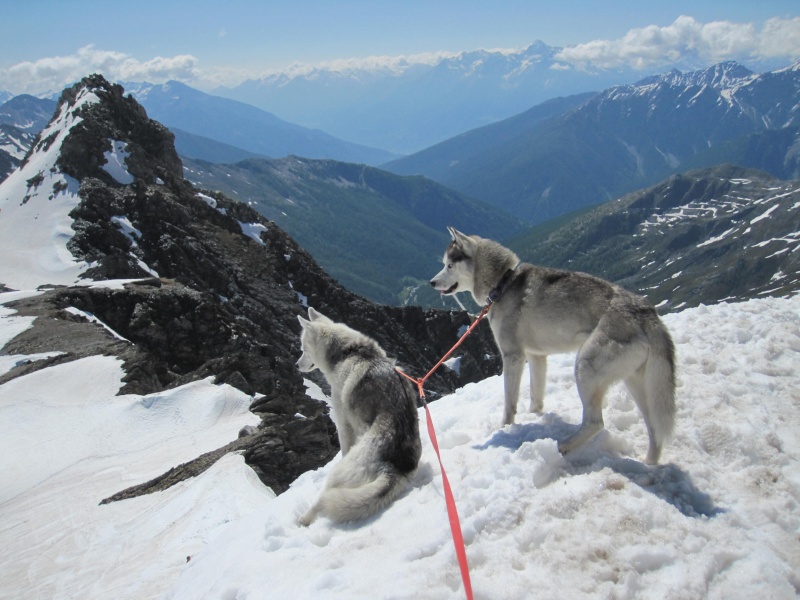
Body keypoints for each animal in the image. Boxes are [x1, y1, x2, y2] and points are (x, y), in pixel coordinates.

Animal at [296, 310, 422, 524]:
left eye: (304, 349)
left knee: (324, 498)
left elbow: (343, 445)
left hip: (341, 473)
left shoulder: (343, 423)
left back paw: (303, 519)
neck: (349, 352)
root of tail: (395, 466)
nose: (296, 365)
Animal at [432, 227, 676, 466]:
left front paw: (505, 428)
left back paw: (563, 446)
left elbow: (509, 402)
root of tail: (645, 311)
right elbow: (536, 396)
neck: (503, 283)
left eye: (449, 265)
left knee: (596, 423)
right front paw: (535, 415)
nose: (432, 283)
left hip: (585, 366)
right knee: (654, 427)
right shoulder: (536, 357)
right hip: (637, 383)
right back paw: (648, 462)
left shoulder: (513, 356)